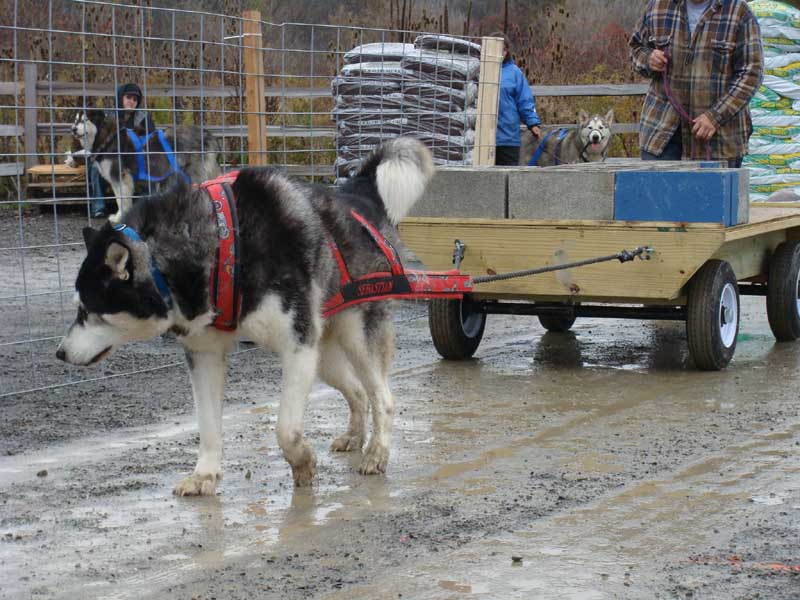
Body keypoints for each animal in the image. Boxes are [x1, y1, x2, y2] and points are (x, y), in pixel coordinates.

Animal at [55, 137, 434, 496]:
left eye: (87, 309)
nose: (59, 353)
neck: (225, 243)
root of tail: (358, 192)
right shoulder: (206, 354)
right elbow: (208, 426)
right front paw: (204, 475)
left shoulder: (296, 347)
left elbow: (286, 429)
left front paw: (302, 462)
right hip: (323, 354)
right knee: (357, 391)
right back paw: (354, 437)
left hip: (355, 338)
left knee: (383, 398)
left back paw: (376, 453)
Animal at [67, 109, 219, 223]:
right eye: (75, 120)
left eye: (85, 120)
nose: (73, 129)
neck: (106, 137)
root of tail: (205, 133)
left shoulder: (121, 177)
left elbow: (121, 200)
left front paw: (120, 217)